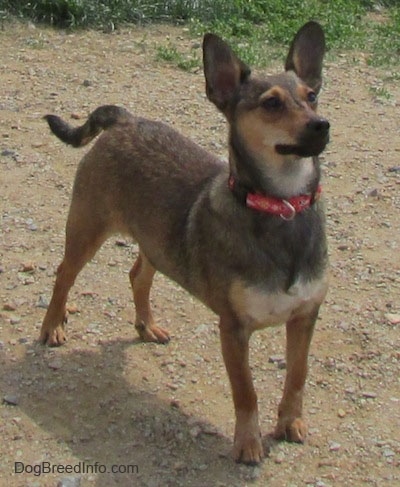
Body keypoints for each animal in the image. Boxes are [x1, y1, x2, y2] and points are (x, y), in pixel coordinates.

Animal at [39, 22, 330, 466]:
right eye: (271, 104)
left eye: (312, 96)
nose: (322, 125)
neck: (281, 207)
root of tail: (126, 119)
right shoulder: (234, 329)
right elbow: (246, 393)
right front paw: (248, 443)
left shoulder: (305, 316)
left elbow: (297, 376)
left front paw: (290, 423)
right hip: (86, 230)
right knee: (63, 276)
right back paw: (53, 326)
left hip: (155, 243)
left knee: (138, 275)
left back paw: (147, 325)